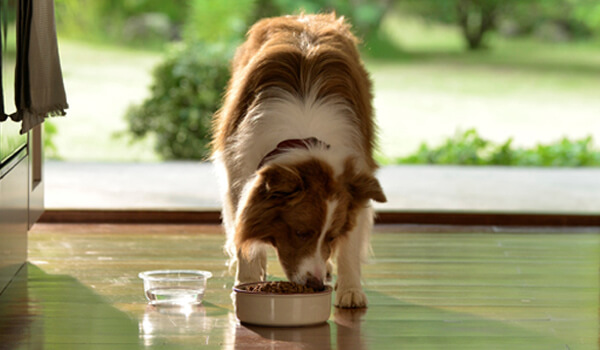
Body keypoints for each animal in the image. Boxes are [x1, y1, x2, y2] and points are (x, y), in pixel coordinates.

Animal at [211, 13, 386, 308]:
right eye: (301, 232)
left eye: (331, 236)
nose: (314, 285)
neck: (304, 139)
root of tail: (305, 16)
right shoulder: (239, 171)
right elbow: (245, 235)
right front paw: (246, 281)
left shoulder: (356, 174)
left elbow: (350, 246)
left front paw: (350, 290)